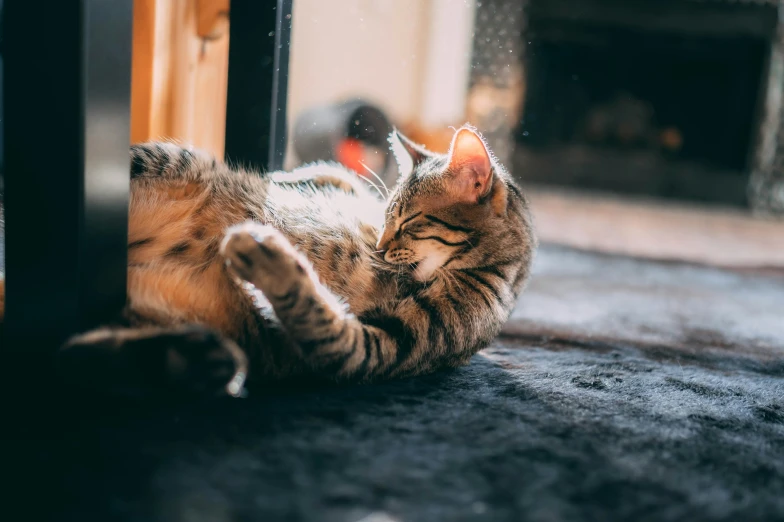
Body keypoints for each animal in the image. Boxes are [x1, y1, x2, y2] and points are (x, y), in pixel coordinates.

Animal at [27, 125, 536, 394]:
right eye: (387, 217)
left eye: (409, 222)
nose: (379, 246)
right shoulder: (347, 187)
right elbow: (330, 173)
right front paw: (283, 178)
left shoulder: (381, 347)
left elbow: (320, 317)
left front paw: (270, 256)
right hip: (171, 160)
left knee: (66, 357)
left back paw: (196, 357)